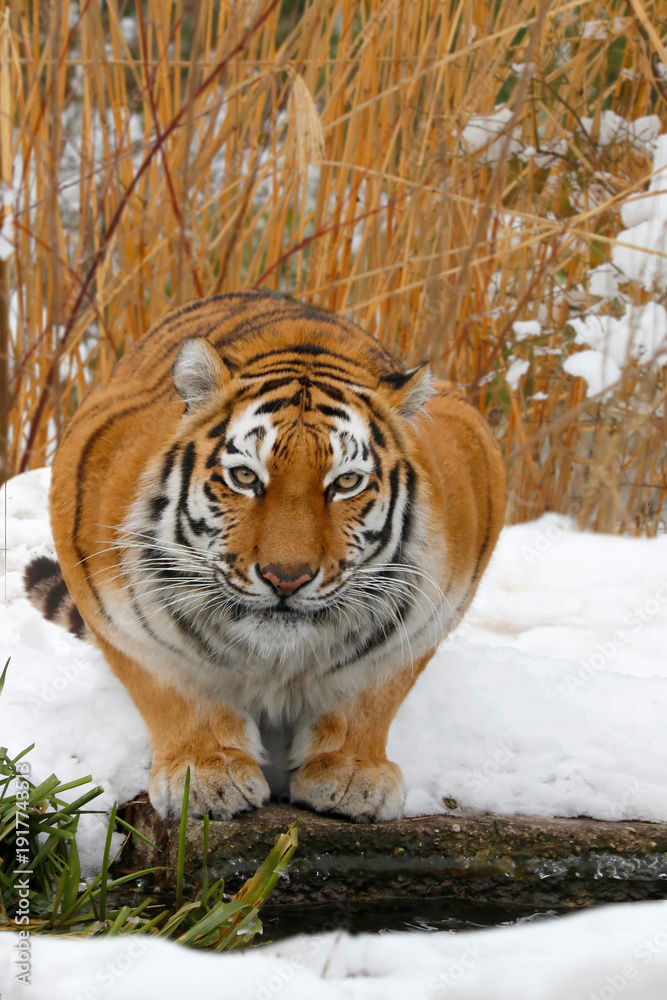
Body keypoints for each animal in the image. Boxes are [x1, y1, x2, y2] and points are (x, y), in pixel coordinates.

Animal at [24, 290, 506, 823]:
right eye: (245, 477)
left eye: (346, 482)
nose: (286, 578)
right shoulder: (115, 608)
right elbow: (174, 687)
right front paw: (205, 772)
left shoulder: (434, 604)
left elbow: (371, 693)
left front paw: (351, 773)